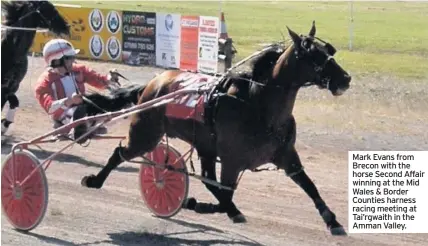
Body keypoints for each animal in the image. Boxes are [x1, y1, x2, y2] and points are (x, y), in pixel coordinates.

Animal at [1, 0, 69, 136]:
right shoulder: (3, 88)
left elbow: (14, 103)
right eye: (49, 9)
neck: (11, 50)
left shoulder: (12, 87)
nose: (66, 26)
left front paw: (4, 125)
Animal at [79, 22, 352, 235]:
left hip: (204, 147)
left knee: (208, 178)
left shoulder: (287, 156)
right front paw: (202, 205)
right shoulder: (232, 160)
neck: (258, 106)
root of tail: (152, 83)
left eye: (329, 50)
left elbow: (309, 185)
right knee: (120, 153)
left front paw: (333, 221)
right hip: (145, 134)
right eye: (313, 56)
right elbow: (224, 193)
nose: (346, 79)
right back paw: (94, 181)